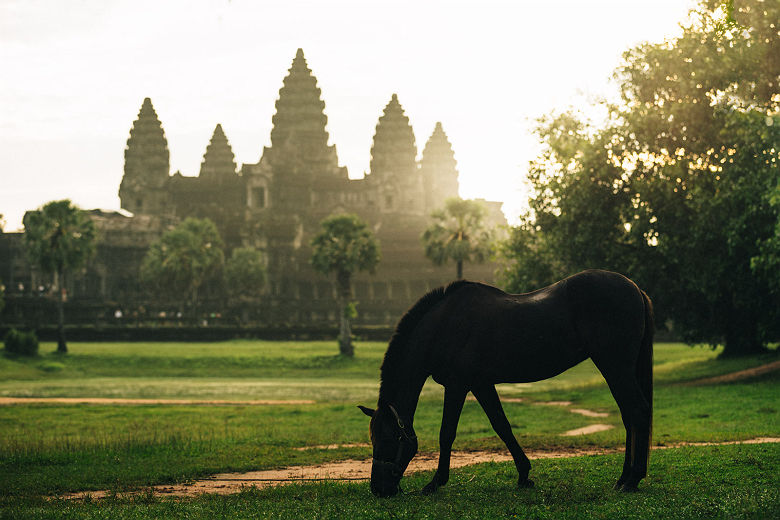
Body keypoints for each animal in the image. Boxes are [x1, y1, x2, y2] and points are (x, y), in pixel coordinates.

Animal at [360, 270, 652, 498]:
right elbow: (502, 425)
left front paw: (435, 483)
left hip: (615, 367)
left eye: (388, 439)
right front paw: (524, 475)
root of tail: (635, 288)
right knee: (629, 415)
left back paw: (632, 479)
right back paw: (623, 478)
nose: (378, 489)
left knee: (637, 411)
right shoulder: (481, 385)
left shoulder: (457, 386)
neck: (444, 325)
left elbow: (447, 434)